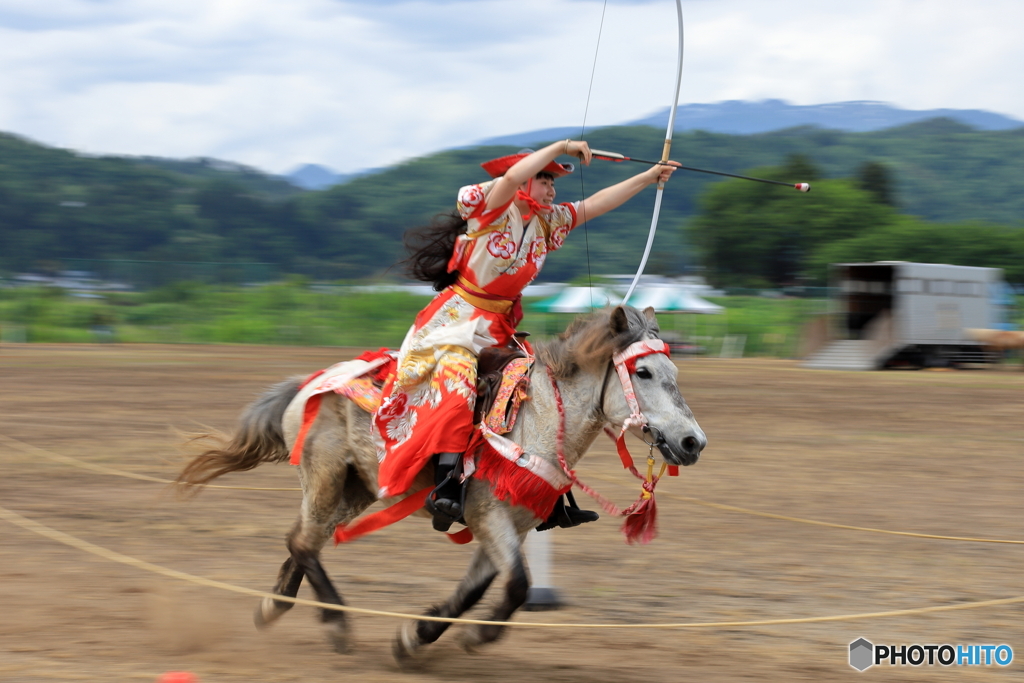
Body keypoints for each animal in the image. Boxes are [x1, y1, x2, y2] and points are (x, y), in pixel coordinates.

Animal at [178, 307, 704, 663]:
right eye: (642, 372)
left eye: (674, 372)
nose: (693, 441)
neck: (535, 419)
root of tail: (309, 382)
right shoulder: (488, 516)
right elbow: (517, 585)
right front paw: (475, 636)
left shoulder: (510, 525)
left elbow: (478, 589)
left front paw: (413, 638)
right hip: (325, 476)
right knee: (304, 542)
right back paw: (336, 623)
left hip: (354, 488)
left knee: (302, 540)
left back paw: (274, 606)